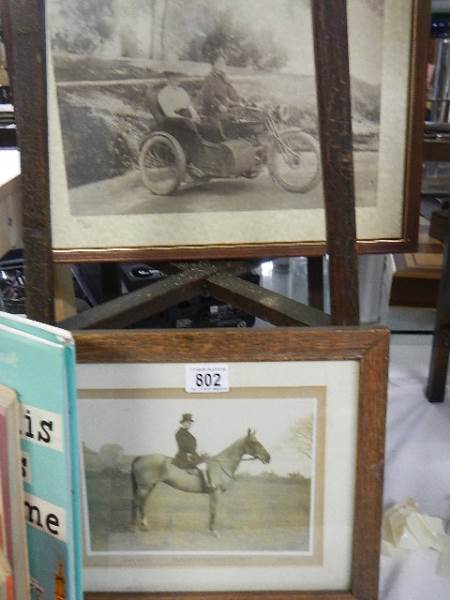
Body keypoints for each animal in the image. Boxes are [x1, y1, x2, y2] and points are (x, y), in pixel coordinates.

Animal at [130, 428, 270, 536]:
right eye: (254, 442)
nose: (268, 457)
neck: (221, 465)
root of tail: (141, 457)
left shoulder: (213, 494)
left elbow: (211, 510)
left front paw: (211, 529)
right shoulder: (215, 493)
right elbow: (213, 511)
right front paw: (213, 531)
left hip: (150, 486)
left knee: (143, 503)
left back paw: (144, 526)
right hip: (144, 486)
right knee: (136, 502)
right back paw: (134, 528)